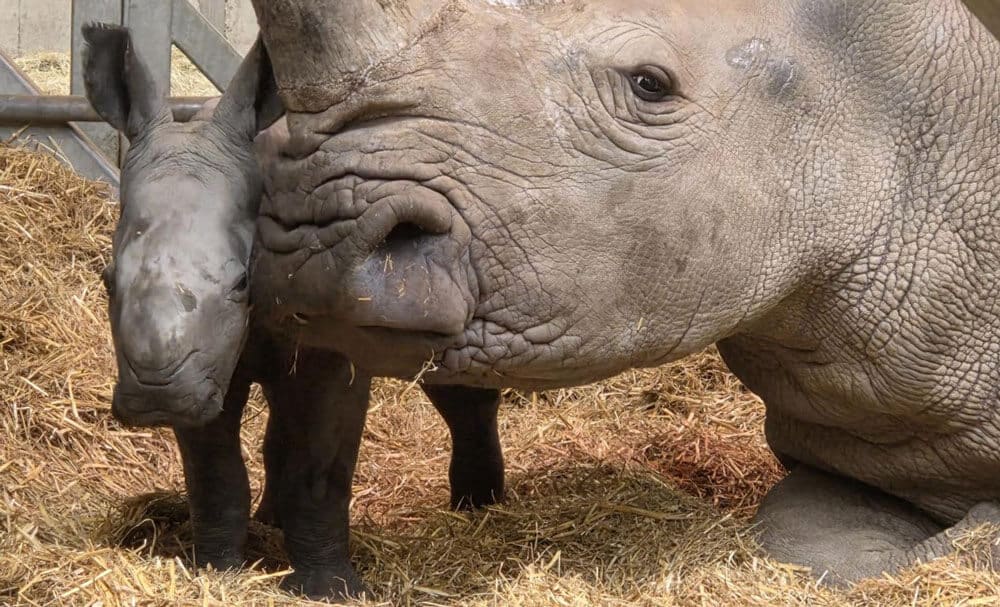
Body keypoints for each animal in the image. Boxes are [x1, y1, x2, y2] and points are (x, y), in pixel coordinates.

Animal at [81, 24, 504, 599]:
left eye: (242, 282)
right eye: (106, 281)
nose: (155, 397)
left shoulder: (323, 353)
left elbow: (317, 467)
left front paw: (331, 589)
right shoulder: (205, 367)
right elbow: (214, 471)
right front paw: (217, 571)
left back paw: (480, 510)